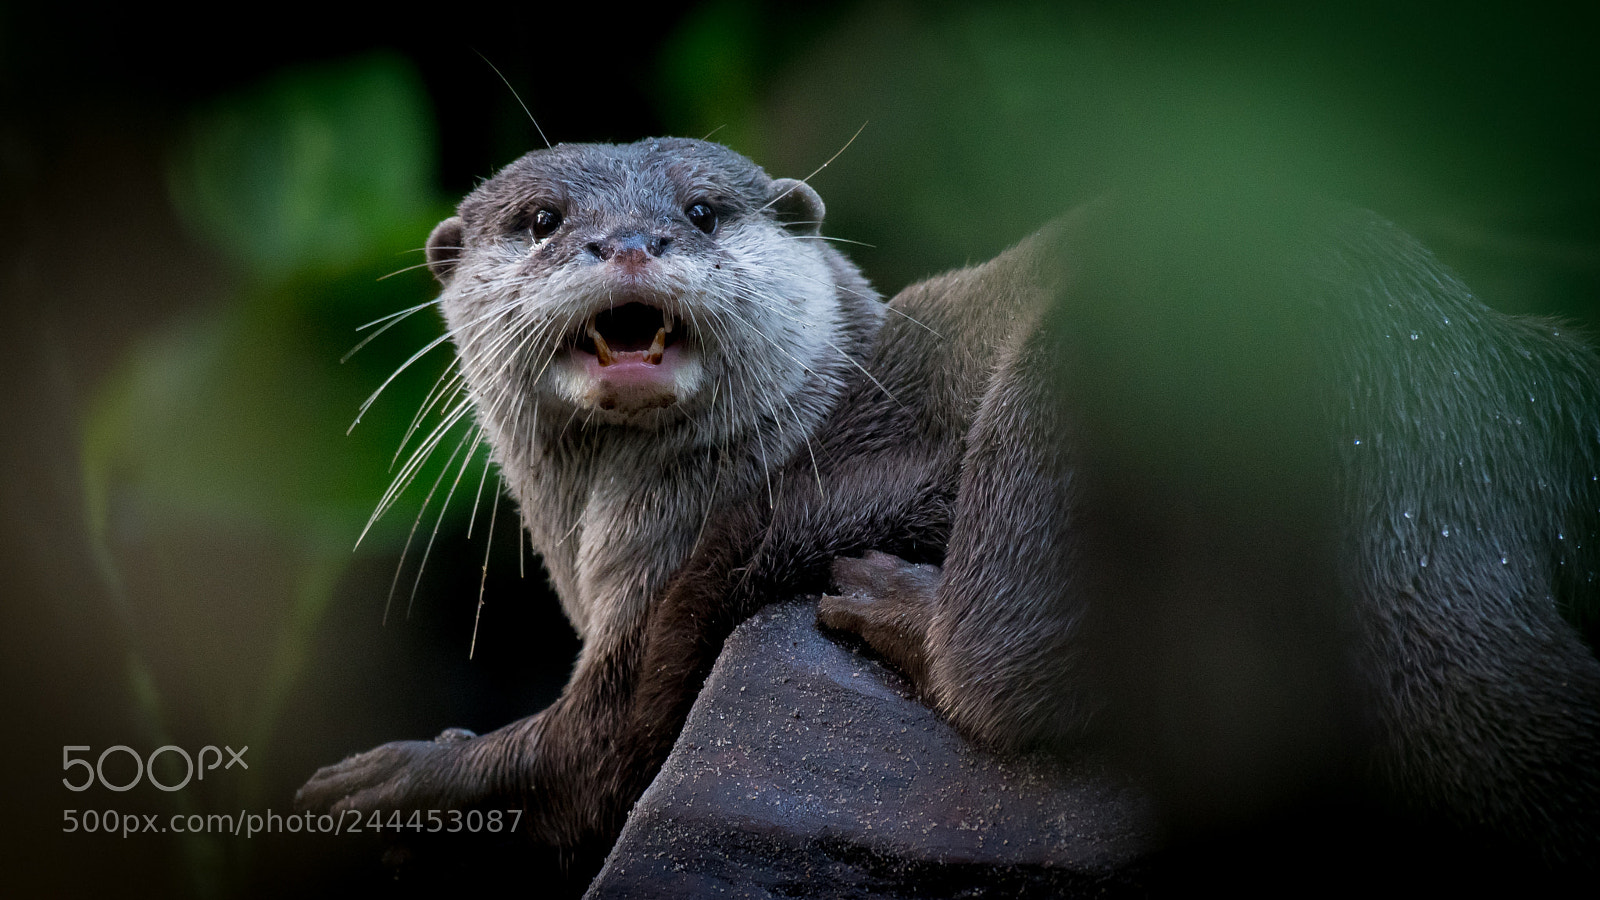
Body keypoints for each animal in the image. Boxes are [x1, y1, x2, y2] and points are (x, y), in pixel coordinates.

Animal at [297, 139, 1600, 885]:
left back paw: (892, 608)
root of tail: (1424, 428)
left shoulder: (709, 575)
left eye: (705, 211)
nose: (630, 242)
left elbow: (574, 762)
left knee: (1014, 670)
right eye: (540, 222)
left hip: (1092, 358)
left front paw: (405, 778)